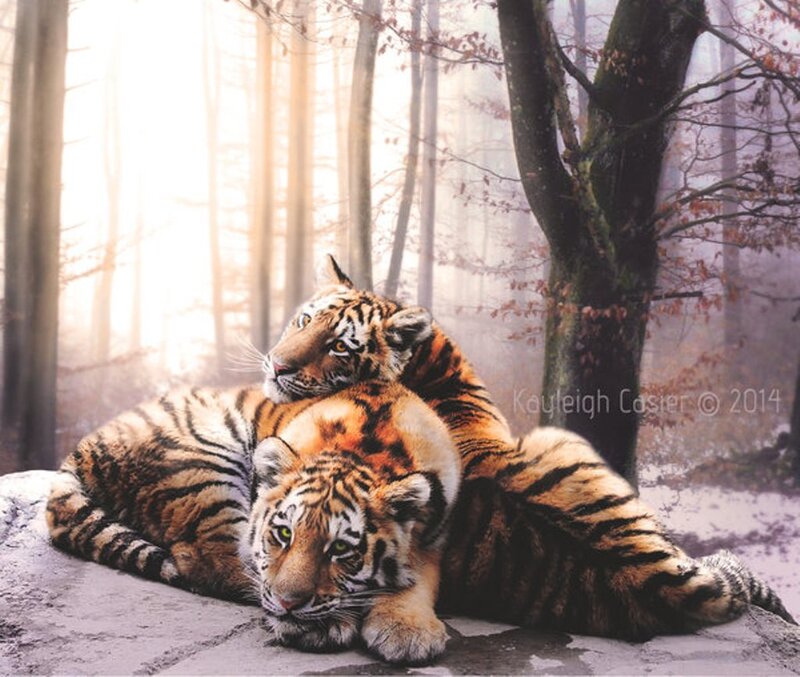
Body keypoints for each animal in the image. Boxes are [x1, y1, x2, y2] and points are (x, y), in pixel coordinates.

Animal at [47, 381, 461, 665]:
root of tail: (81, 448)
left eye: (341, 549)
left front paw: (407, 631)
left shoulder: (437, 535)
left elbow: (418, 578)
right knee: (211, 561)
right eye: (283, 533)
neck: (366, 452)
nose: (288, 604)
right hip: (206, 464)